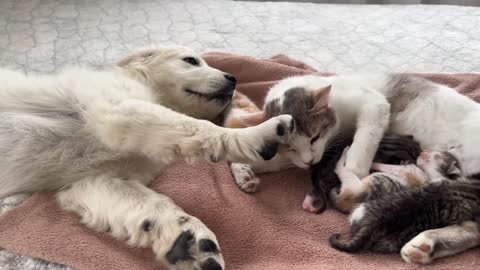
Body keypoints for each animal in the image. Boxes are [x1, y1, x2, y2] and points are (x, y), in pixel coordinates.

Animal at [0, 45, 292, 268]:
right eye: (190, 60)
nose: (233, 79)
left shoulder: (92, 181)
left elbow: (152, 204)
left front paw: (190, 240)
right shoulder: (117, 107)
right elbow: (199, 126)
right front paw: (259, 135)